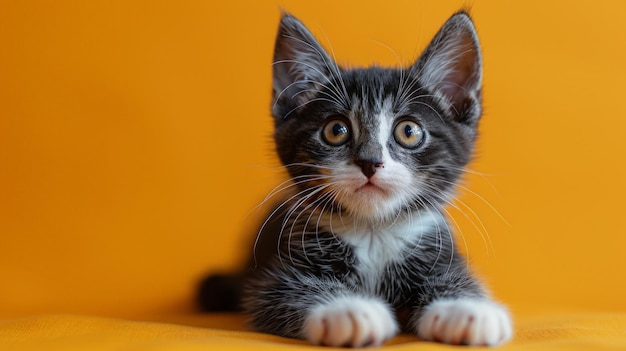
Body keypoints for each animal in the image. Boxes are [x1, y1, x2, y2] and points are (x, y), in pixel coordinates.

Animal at [200, 11, 512, 350]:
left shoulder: (436, 249)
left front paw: (465, 309)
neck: (373, 230)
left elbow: (454, 278)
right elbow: (289, 291)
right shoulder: (274, 277)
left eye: (409, 131)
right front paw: (348, 310)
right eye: (336, 130)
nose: (369, 162)